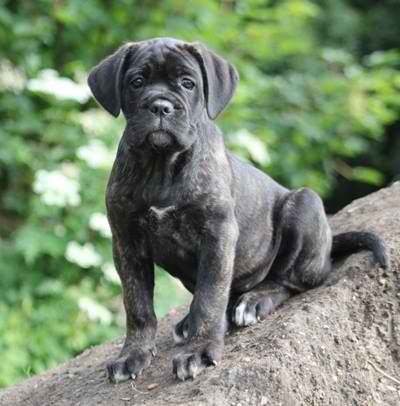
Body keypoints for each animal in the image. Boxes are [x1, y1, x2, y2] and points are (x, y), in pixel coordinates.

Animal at [86, 36, 388, 382]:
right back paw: (189, 322)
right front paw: (133, 354)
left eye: (188, 83)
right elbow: (137, 304)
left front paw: (199, 350)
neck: (161, 165)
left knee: (287, 279)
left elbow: (210, 296)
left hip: (305, 204)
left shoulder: (217, 235)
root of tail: (327, 249)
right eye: (136, 82)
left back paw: (253, 302)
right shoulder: (126, 242)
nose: (160, 106)